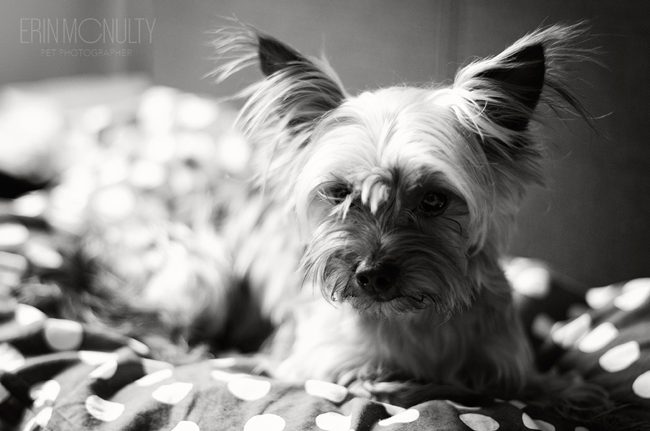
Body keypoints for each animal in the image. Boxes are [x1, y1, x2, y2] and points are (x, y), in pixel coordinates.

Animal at [27, 21, 620, 426]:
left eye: (434, 200)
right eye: (337, 193)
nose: (371, 275)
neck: (417, 319)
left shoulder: (508, 361)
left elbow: (536, 384)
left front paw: (582, 396)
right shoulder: (324, 365)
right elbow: (396, 383)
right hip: (197, 271)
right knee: (132, 319)